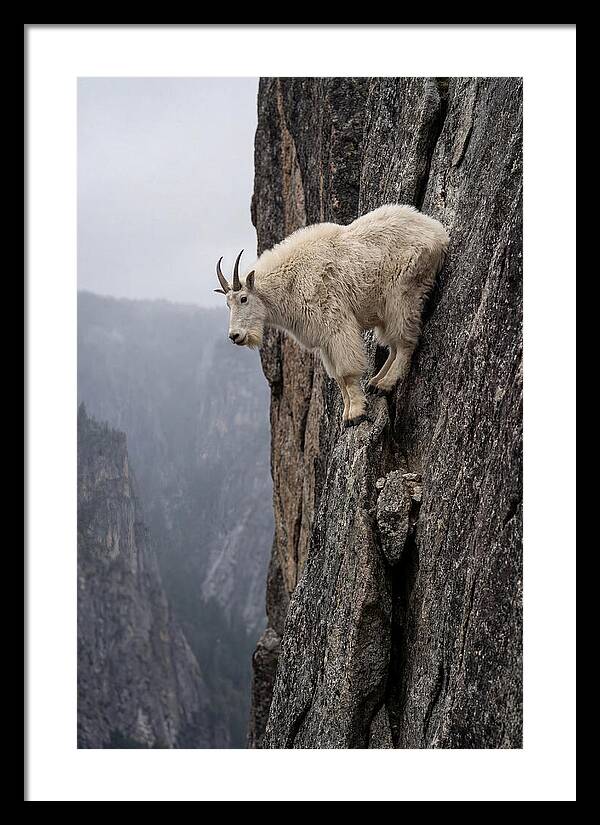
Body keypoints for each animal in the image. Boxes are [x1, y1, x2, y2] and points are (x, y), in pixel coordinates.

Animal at [214, 204, 449, 425]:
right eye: (227, 304)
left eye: (243, 299)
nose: (235, 336)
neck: (290, 282)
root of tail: (438, 232)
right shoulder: (324, 340)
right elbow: (337, 377)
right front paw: (347, 413)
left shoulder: (336, 324)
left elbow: (346, 372)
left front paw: (356, 413)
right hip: (385, 309)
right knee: (393, 344)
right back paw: (375, 382)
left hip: (403, 293)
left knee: (405, 341)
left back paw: (385, 384)